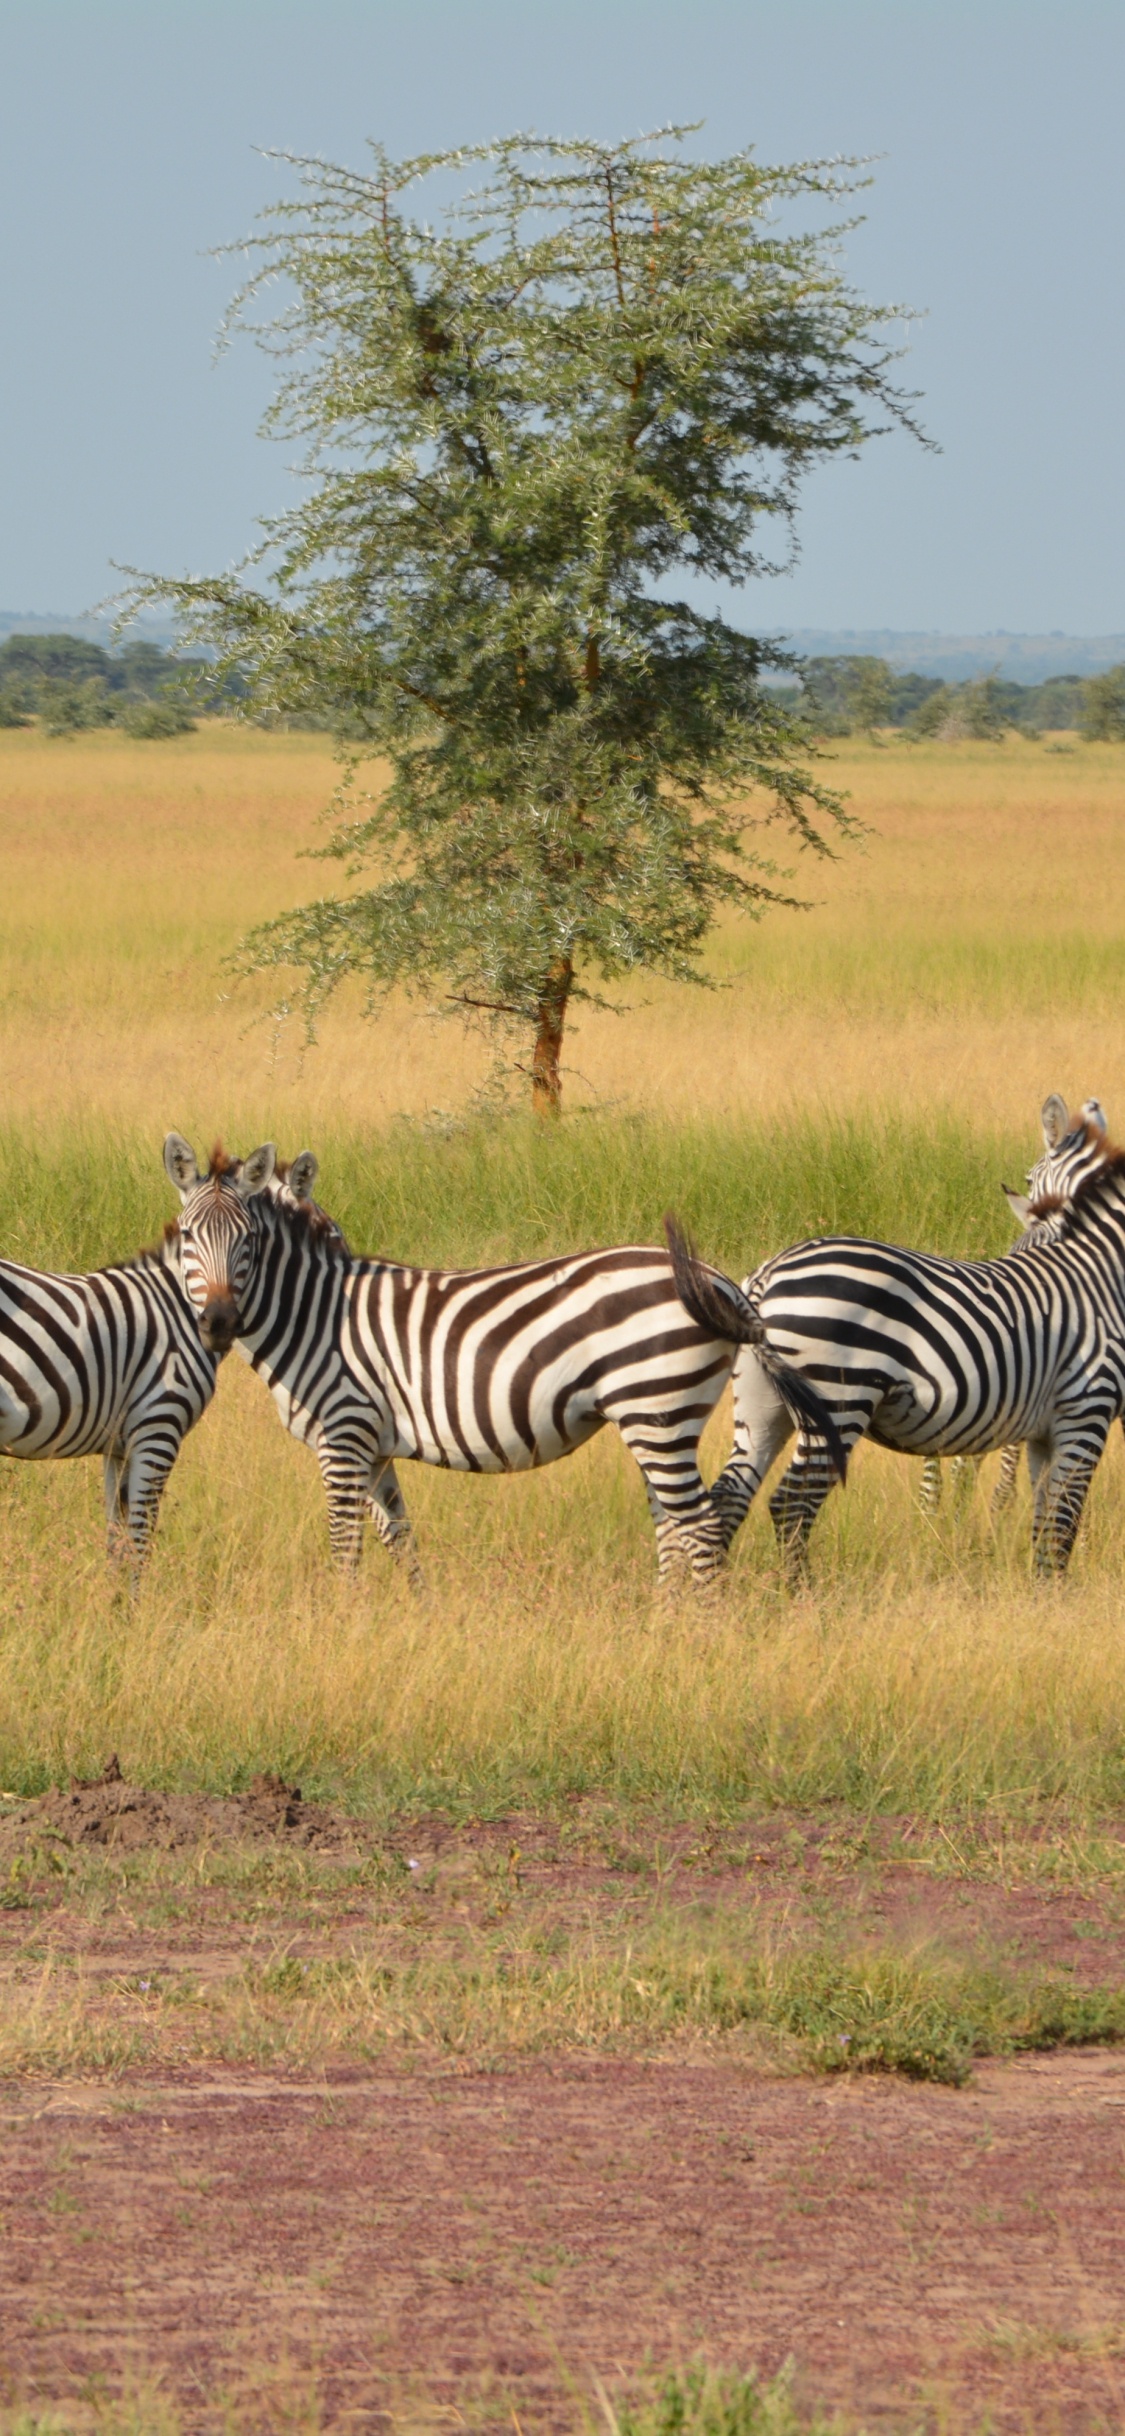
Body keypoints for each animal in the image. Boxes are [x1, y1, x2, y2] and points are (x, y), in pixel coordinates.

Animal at [0, 1134, 276, 1565]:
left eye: (247, 1237)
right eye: (187, 1235)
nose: (219, 1322)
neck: (176, 1307)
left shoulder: (119, 1445)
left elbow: (117, 1542)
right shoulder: (157, 1428)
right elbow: (140, 1542)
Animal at [220, 1157, 846, 1586]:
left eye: (329, 1233)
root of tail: (722, 1283)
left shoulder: (347, 1438)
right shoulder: (372, 1446)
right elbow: (397, 1537)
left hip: (658, 1406)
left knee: (699, 1526)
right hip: (664, 1415)